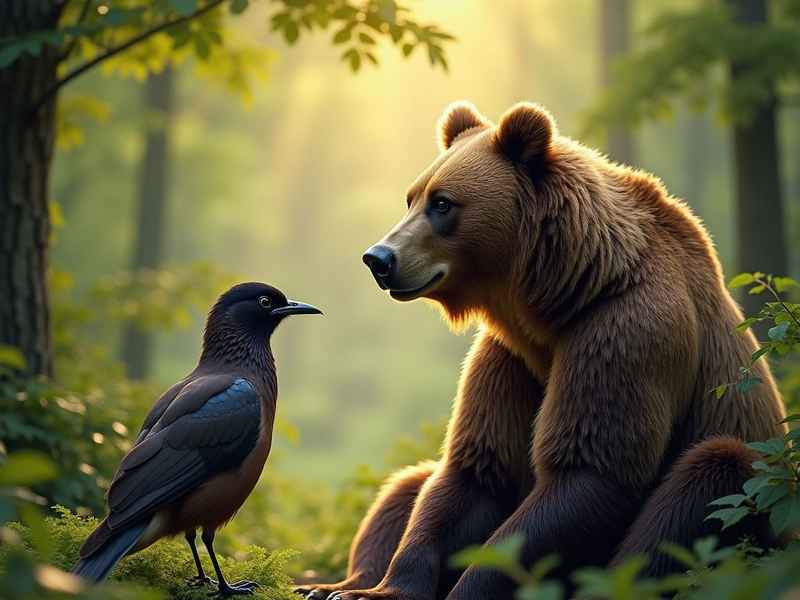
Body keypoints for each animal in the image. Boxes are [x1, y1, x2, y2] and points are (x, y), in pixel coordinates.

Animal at [296, 101, 786, 600]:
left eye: (443, 203)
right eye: (411, 197)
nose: (379, 258)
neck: (559, 297)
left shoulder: (625, 330)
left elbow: (587, 469)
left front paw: (469, 587)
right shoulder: (509, 356)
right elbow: (473, 471)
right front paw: (380, 588)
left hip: (758, 485)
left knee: (704, 485)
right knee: (403, 486)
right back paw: (332, 582)